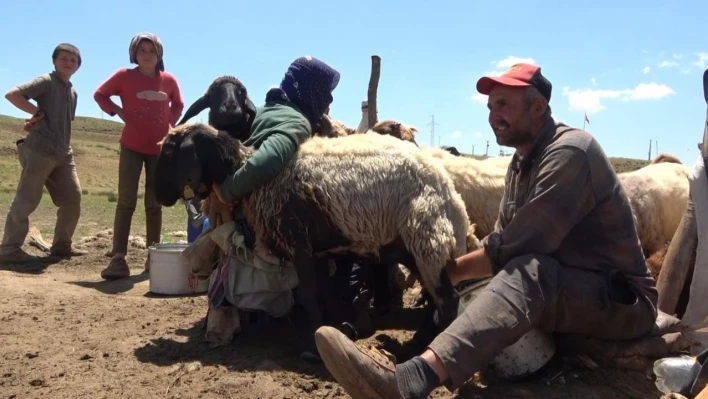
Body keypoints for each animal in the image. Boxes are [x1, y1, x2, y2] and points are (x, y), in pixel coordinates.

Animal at [157, 123, 472, 358]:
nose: (160, 195)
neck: (254, 175)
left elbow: (309, 295)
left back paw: (416, 348)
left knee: (447, 300)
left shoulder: (298, 242)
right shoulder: (318, 251)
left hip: (427, 239)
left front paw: (313, 346)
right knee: (436, 301)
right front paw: (332, 330)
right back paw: (413, 345)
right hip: (414, 247)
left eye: (170, 150)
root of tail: (455, 202)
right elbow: (324, 295)